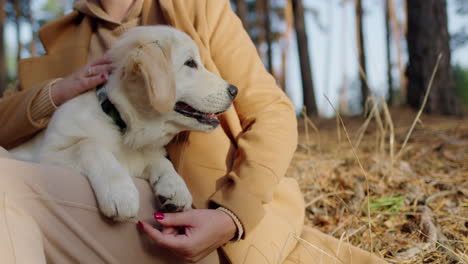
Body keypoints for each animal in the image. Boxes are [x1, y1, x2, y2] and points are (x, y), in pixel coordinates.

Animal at [11, 26, 238, 221]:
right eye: (190, 63)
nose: (234, 90)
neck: (123, 125)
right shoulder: (44, 155)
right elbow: (88, 144)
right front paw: (120, 191)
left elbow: (160, 160)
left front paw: (175, 186)